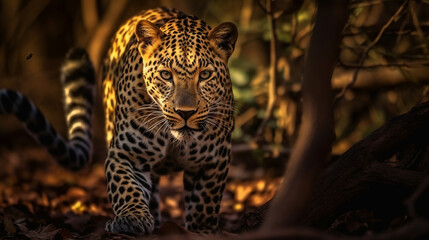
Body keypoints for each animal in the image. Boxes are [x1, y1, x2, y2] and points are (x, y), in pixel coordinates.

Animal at [0, 7, 237, 234]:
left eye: (205, 75)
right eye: (166, 75)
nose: (185, 112)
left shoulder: (214, 160)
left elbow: (205, 203)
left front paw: (201, 230)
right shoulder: (127, 154)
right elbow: (126, 188)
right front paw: (132, 219)